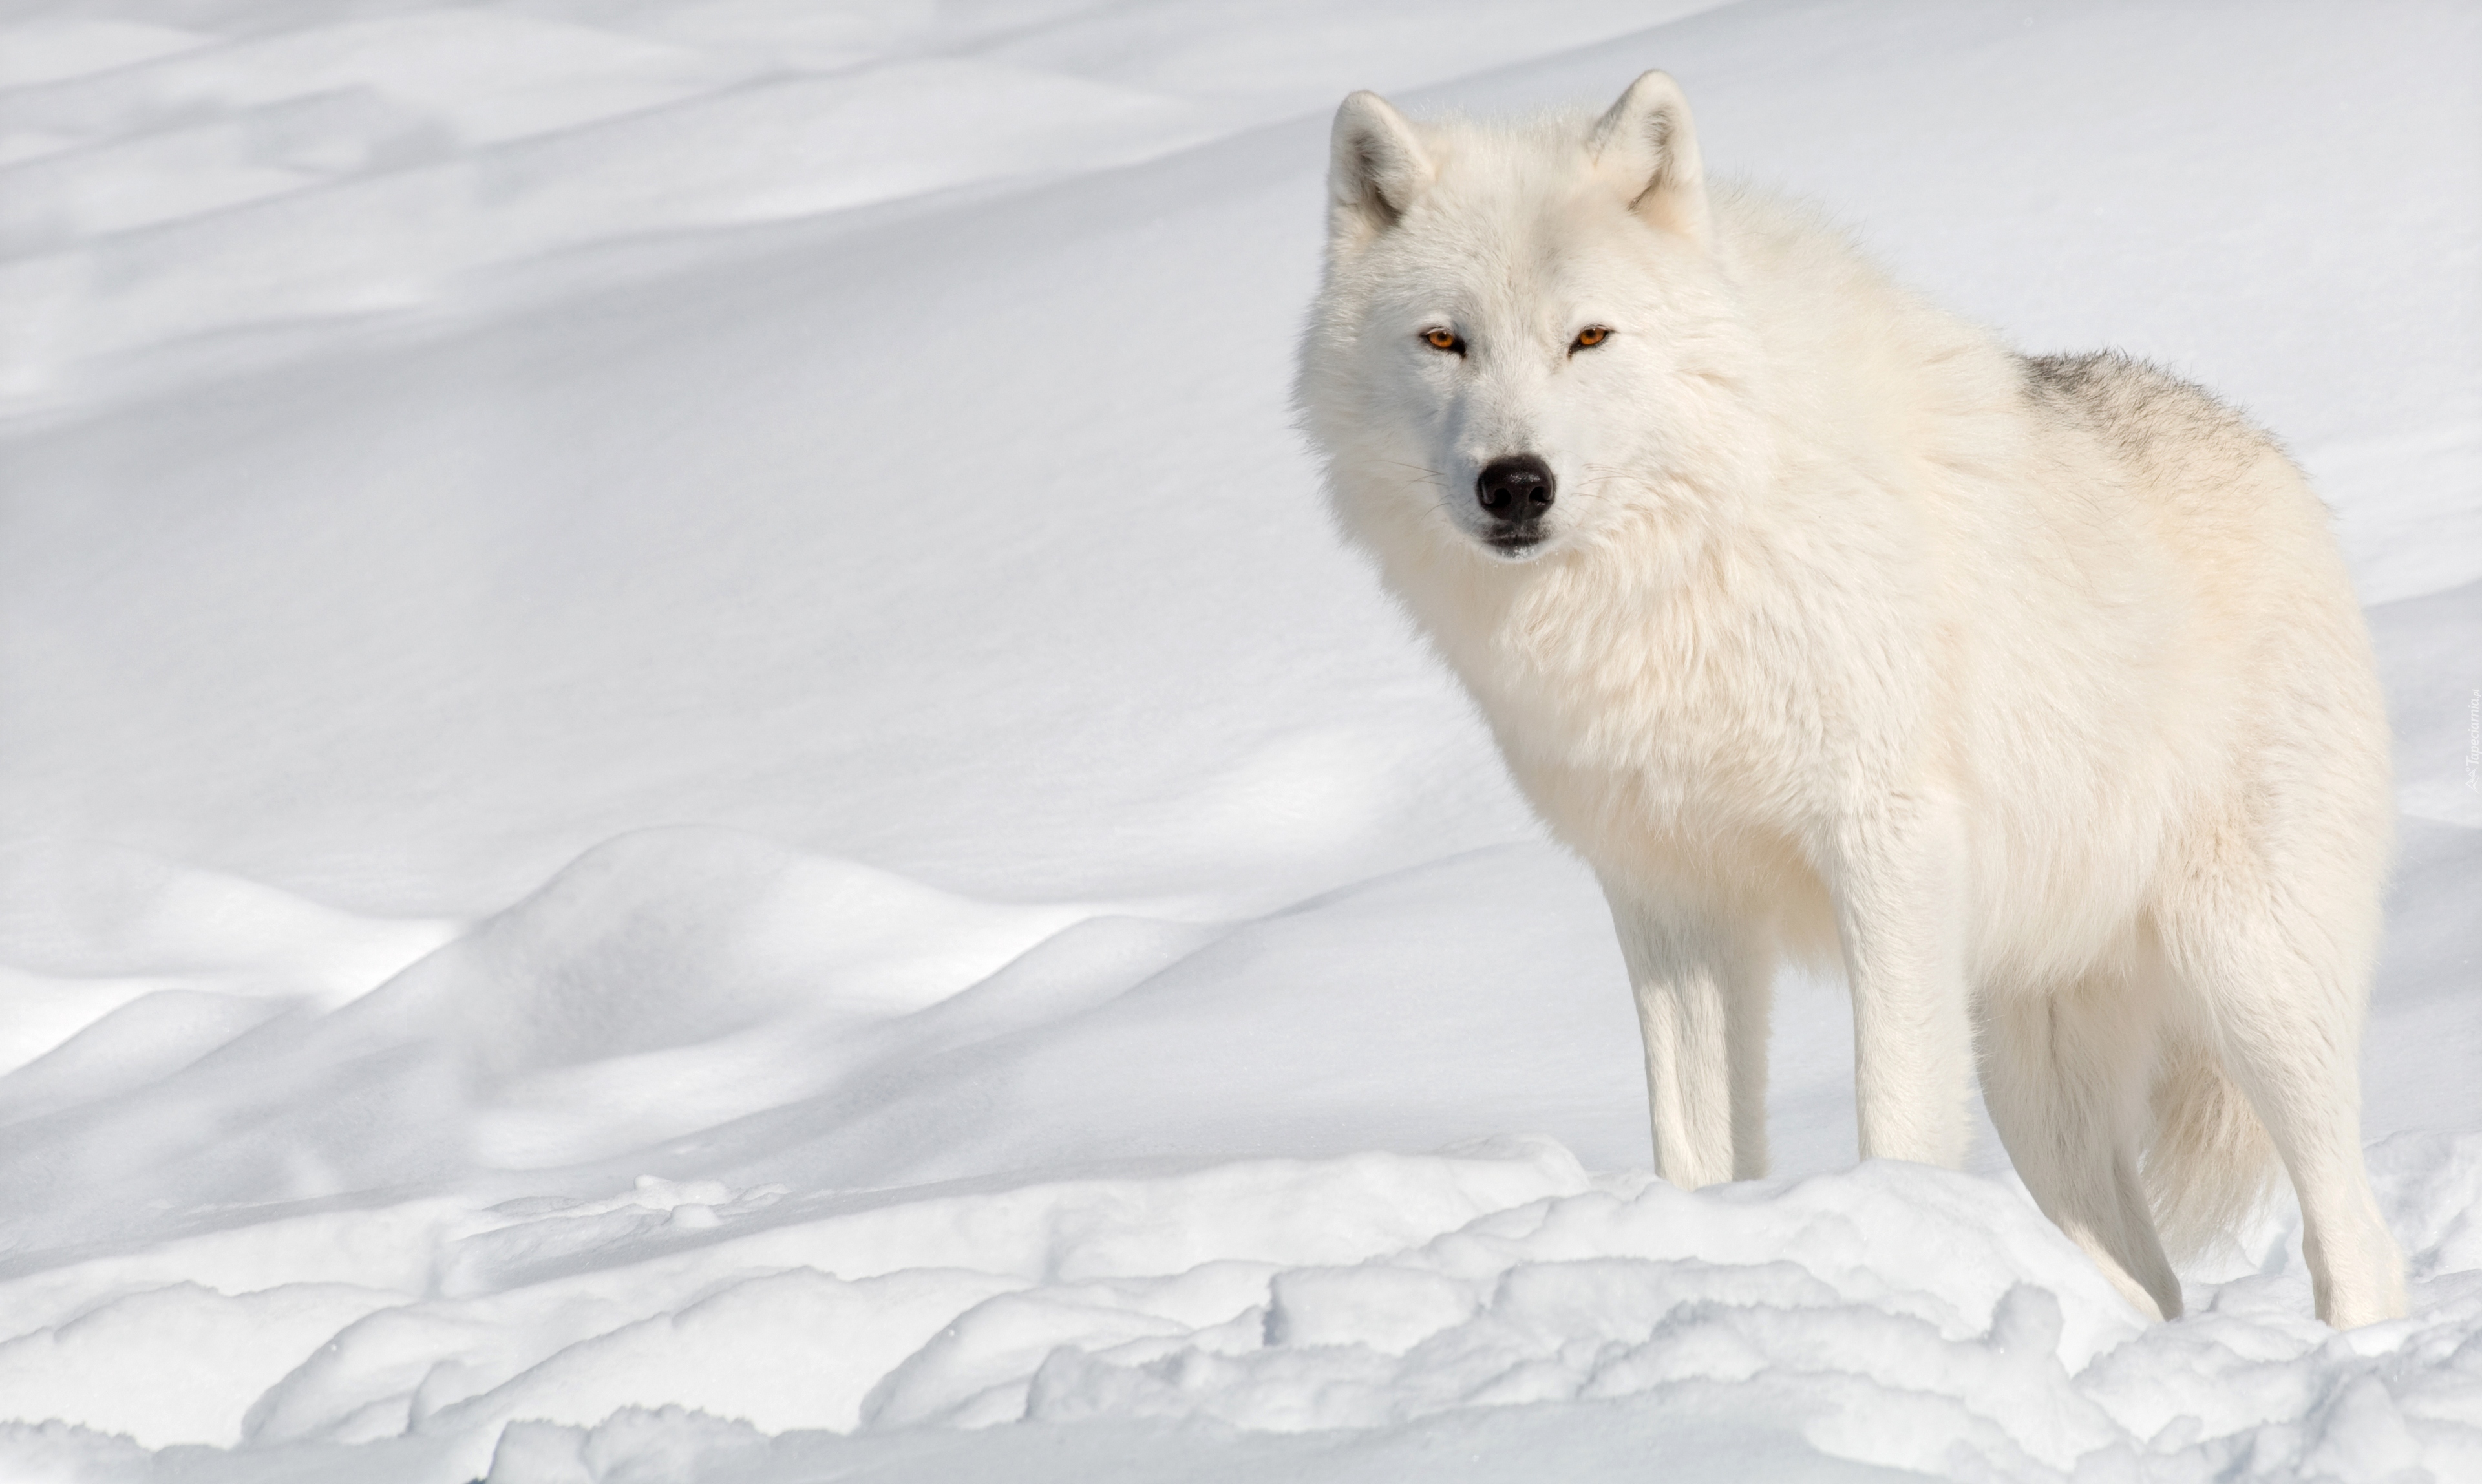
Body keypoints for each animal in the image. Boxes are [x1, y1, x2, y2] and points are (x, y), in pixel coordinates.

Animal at [1300, 69, 2402, 1330]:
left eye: (1589, 337)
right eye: (1445, 340)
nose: (1515, 484)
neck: (1683, 568)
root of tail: (2279, 466)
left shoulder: (1886, 845)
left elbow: (1897, 1112)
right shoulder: (1671, 900)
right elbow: (1697, 1147)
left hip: (2252, 982)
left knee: (2355, 1236)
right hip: (2040, 1082)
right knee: (2148, 1281)